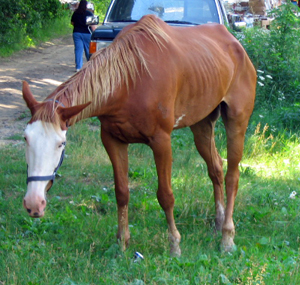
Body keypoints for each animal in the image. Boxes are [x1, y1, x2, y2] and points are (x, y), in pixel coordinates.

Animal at [21, 14, 255, 254]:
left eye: (60, 144)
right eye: (26, 139)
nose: (33, 204)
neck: (129, 81)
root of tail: (235, 43)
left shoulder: (161, 142)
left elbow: (166, 196)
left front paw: (174, 245)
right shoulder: (112, 140)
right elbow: (122, 192)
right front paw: (122, 243)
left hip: (237, 122)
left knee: (232, 176)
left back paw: (227, 237)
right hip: (202, 125)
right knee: (215, 169)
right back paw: (218, 223)